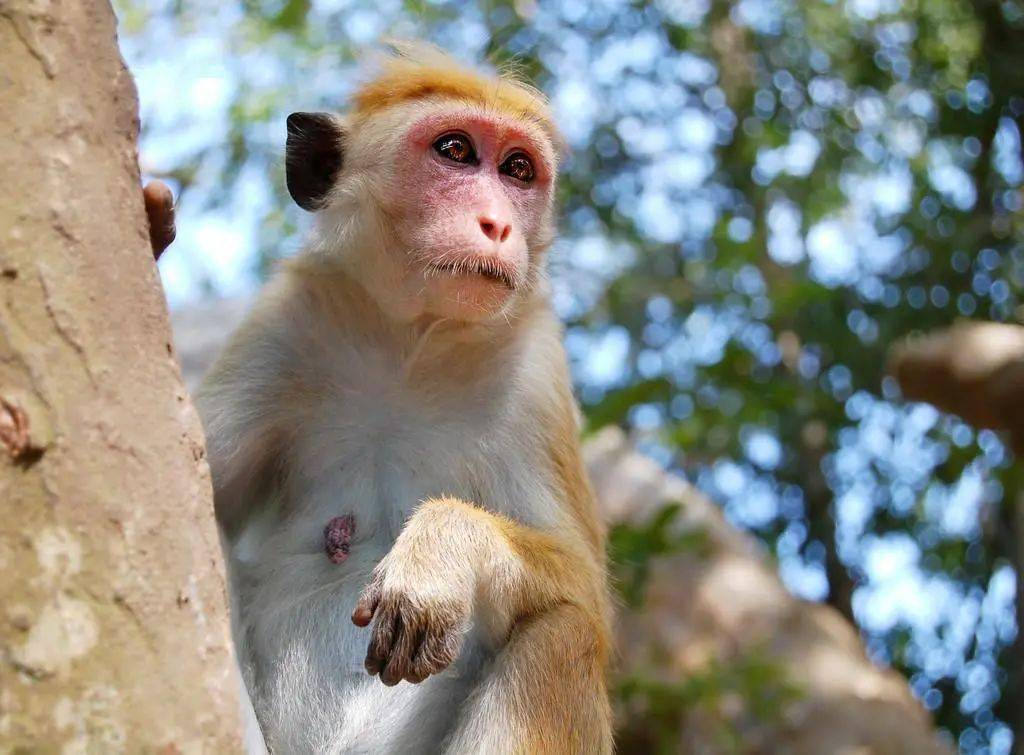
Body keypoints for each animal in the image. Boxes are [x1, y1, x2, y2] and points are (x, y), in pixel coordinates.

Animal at [197, 44, 614, 749]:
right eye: (455, 150)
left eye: (518, 168)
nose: (498, 225)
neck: (410, 344)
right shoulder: (285, 323)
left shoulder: (537, 375)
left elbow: (587, 596)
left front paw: (446, 549)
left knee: (563, 633)